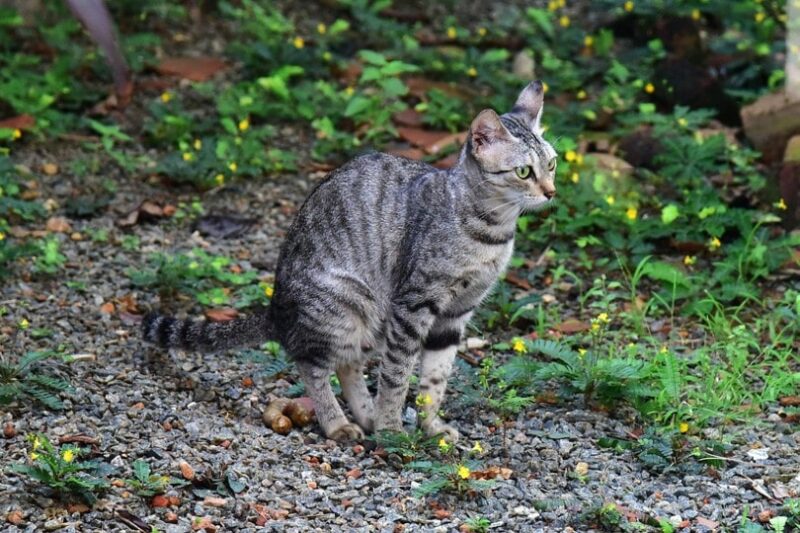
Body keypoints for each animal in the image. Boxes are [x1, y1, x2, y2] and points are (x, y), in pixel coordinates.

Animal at [142, 81, 556, 442]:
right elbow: (396, 376)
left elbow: (434, 380)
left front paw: (430, 427)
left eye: (551, 165)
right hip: (347, 303)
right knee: (312, 364)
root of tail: (276, 308)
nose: (552, 192)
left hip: (370, 319)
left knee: (348, 364)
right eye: (524, 171)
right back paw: (338, 424)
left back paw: (364, 416)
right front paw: (392, 429)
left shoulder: (455, 314)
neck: (491, 231)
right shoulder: (414, 304)